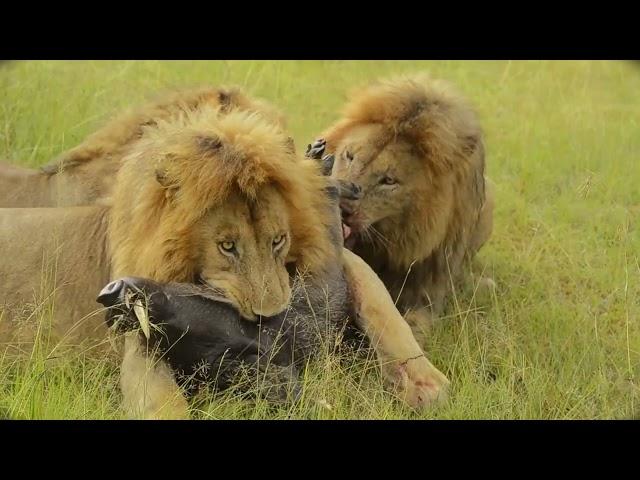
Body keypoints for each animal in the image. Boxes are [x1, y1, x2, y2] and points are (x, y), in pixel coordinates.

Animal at [0, 107, 448, 418]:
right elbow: (163, 402)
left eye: (278, 240)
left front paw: (426, 383)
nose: (272, 319)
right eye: (227, 246)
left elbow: (372, 291)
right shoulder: (142, 343)